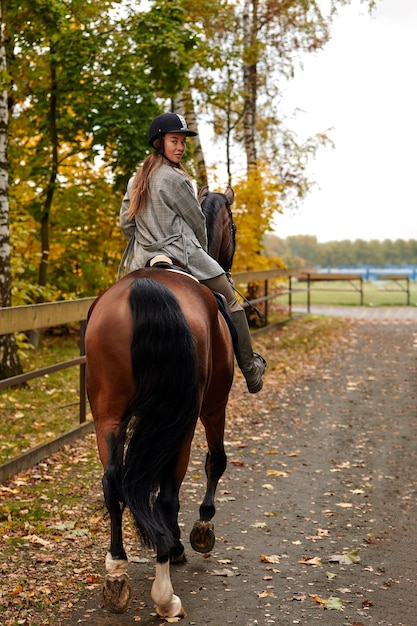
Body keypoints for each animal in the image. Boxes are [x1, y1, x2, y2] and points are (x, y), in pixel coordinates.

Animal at [83, 185, 237, 616]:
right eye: (234, 227)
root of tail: (145, 288)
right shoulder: (214, 406)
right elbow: (216, 461)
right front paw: (201, 530)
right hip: (182, 420)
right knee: (167, 494)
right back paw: (165, 591)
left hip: (109, 414)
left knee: (113, 483)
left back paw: (117, 571)